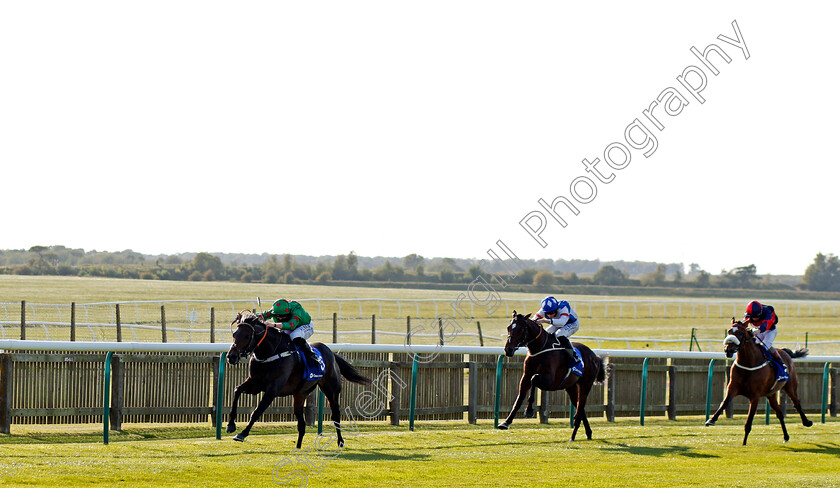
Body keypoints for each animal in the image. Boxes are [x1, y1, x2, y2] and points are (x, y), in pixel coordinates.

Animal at [225, 312, 370, 446]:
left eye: (247, 336)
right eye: (234, 334)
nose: (231, 356)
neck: (271, 352)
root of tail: (331, 354)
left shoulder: (273, 389)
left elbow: (257, 411)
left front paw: (242, 434)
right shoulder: (256, 384)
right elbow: (237, 390)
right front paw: (231, 425)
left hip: (331, 391)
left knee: (335, 415)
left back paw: (340, 441)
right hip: (300, 394)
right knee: (301, 423)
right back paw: (298, 447)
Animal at [496, 312, 608, 442]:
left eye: (520, 329)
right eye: (509, 327)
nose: (508, 350)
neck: (540, 348)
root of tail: (595, 357)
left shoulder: (550, 382)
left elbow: (534, 379)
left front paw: (529, 411)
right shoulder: (525, 377)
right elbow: (518, 399)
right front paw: (505, 422)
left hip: (586, 385)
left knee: (580, 410)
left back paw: (573, 436)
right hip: (571, 388)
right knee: (580, 408)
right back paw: (588, 433)